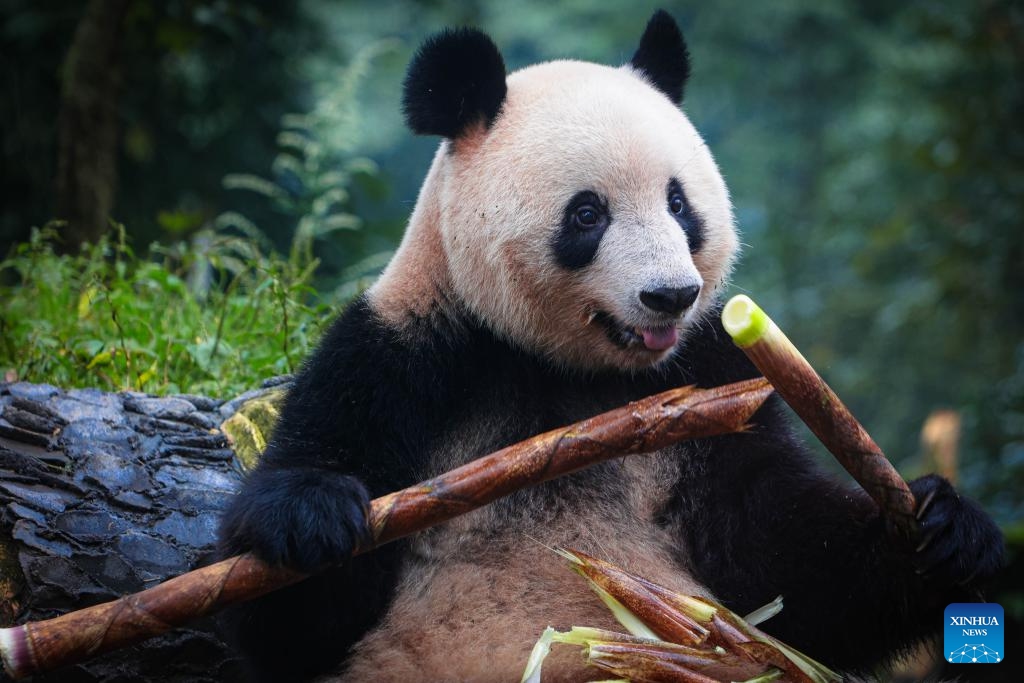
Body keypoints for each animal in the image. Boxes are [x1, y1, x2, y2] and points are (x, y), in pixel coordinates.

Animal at [216, 12, 999, 683]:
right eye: (588, 214)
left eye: (680, 203)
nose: (670, 295)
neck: (570, 370)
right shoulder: (407, 354)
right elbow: (293, 626)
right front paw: (315, 516)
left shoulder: (710, 373)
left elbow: (781, 564)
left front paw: (948, 533)